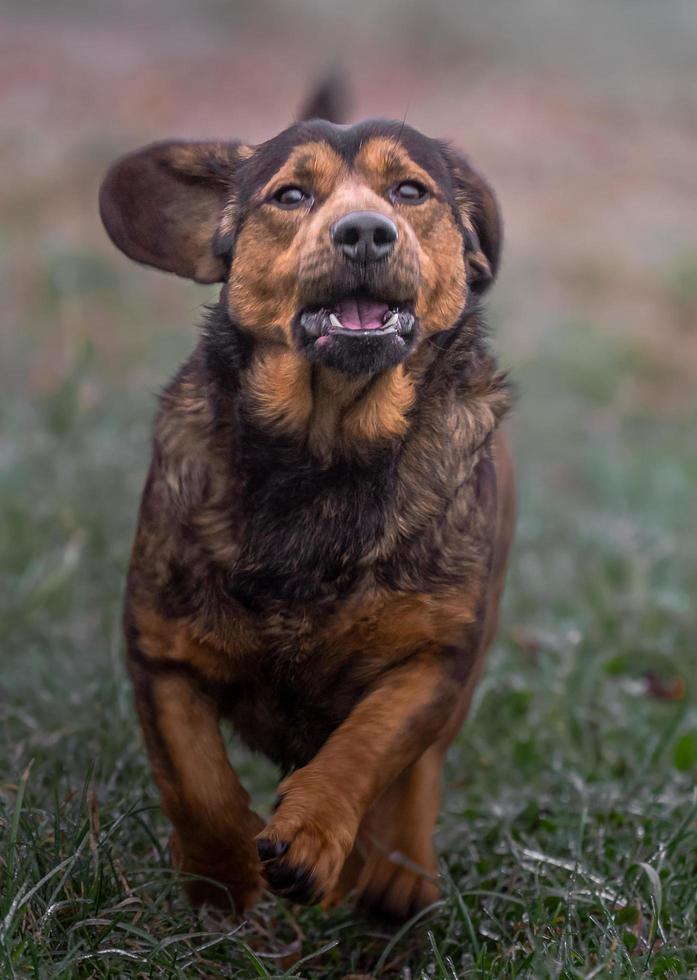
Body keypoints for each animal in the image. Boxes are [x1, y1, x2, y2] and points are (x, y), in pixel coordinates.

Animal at [99, 78, 512, 928]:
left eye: (409, 191)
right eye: (290, 195)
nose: (364, 232)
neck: (327, 451)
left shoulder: (434, 658)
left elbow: (370, 746)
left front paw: (314, 837)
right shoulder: (160, 652)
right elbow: (196, 781)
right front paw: (222, 880)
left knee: (422, 765)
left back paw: (396, 876)